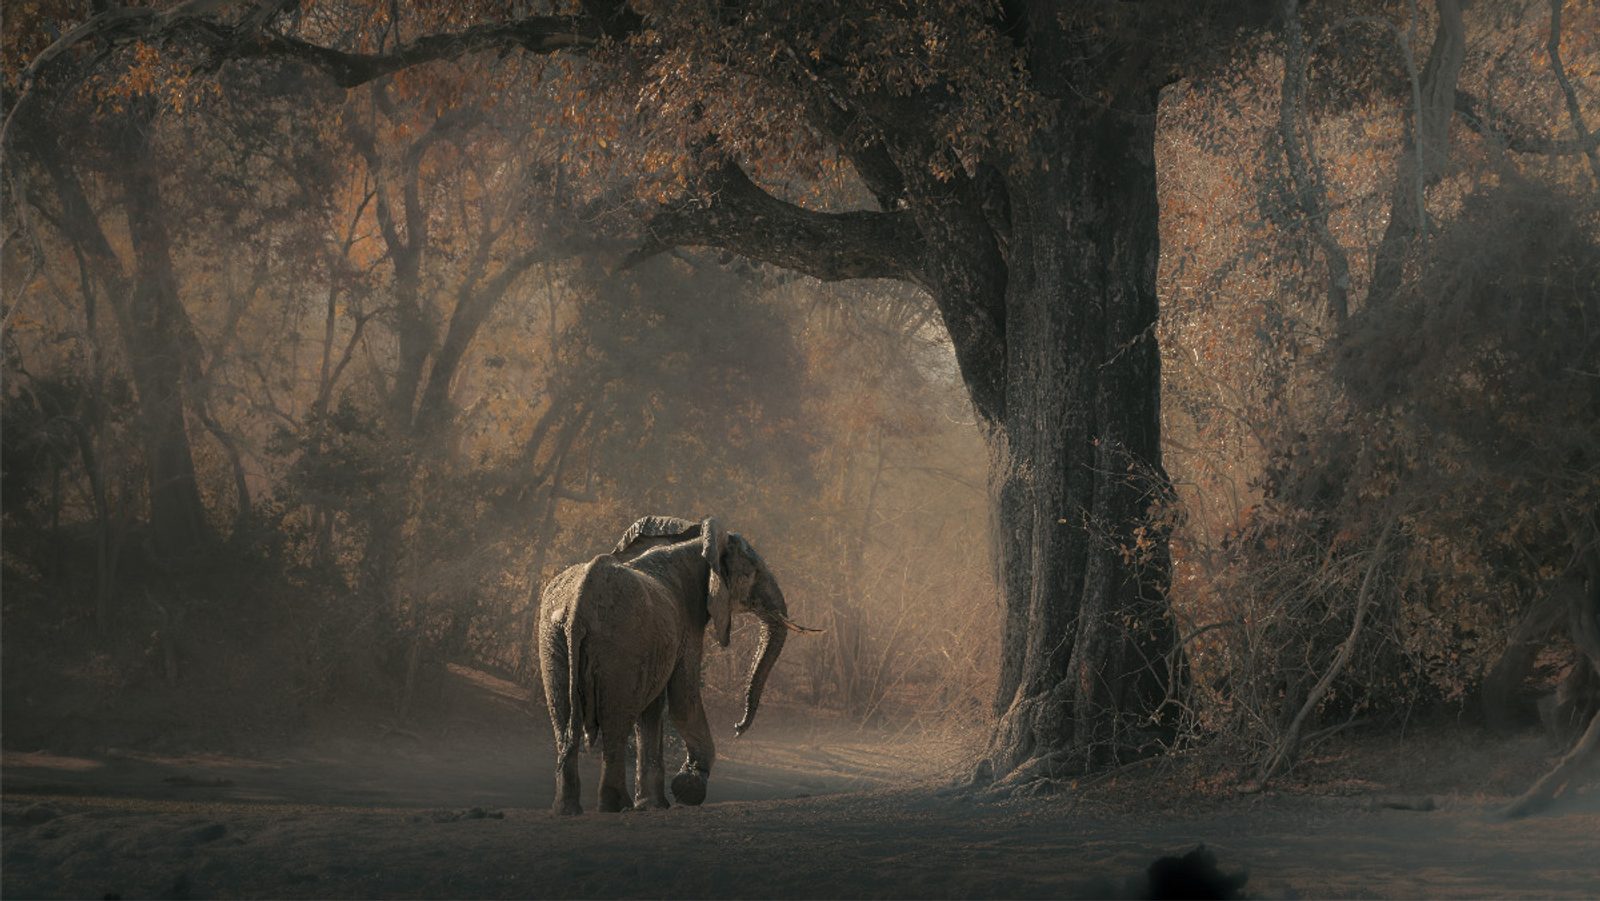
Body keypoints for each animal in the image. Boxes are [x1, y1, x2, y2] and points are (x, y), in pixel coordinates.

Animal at [538, 515, 816, 814]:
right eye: (754, 572)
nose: (737, 728)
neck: (702, 545)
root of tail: (580, 601)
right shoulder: (688, 621)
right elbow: (684, 698)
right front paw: (688, 788)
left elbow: (653, 709)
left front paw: (655, 804)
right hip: (618, 640)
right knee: (616, 720)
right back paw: (617, 806)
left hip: (554, 640)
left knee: (563, 718)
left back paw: (567, 809)